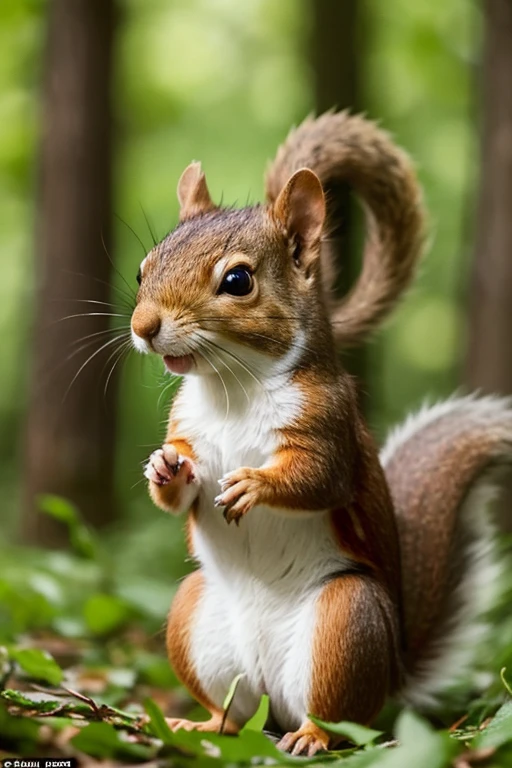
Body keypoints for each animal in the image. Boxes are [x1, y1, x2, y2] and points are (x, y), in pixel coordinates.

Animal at [130, 111, 510, 760]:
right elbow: (180, 483)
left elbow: (318, 479)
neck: (233, 390)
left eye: (237, 280)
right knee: (234, 714)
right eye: (142, 268)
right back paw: (201, 725)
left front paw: (253, 485)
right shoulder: (187, 427)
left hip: (344, 624)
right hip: (197, 620)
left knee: (336, 720)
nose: (143, 326)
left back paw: (309, 737)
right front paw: (164, 469)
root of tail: (392, 676)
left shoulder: (329, 425)